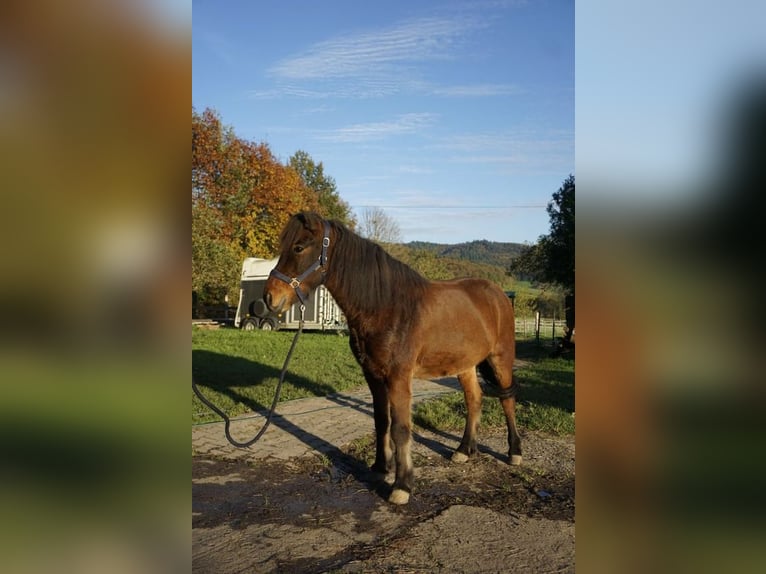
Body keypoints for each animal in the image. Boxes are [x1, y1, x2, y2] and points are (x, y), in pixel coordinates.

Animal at [264, 214, 520, 506]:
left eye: (298, 247)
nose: (269, 297)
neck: (385, 306)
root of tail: (497, 294)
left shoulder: (399, 376)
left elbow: (400, 428)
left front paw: (402, 486)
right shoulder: (373, 375)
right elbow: (381, 421)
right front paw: (379, 467)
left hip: (501, 358)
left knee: (507, 400)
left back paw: (514, 452)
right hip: (465, 365)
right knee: (474, 400)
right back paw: (464, 450)